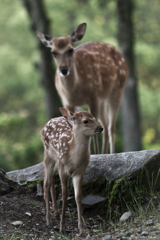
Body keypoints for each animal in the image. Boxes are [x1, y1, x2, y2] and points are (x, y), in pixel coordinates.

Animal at [37, 23, 128, 154]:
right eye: (53, 52)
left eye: (70, 50)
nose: (63, 69)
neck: (75, 91)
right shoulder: (66, 101)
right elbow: (71, 123)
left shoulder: (93, 96)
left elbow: (95, 126)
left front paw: (95, 153)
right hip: (102, 98)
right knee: (106, 125)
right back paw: (104, 152)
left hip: (118, 88)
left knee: (111, 127)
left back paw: (111, 153)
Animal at [41, 107, 103, 236]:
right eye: (85, 121)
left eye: (95, 118)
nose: (100, 128)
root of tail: (45, 124)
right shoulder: (63, 170)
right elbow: (64, 195)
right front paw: (62, 228)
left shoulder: (80, 172)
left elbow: (78, 196)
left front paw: (82, 230)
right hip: (49, 156)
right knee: (46, 184)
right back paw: (49, 221)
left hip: (57, 161)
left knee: (52, 179)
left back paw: (56, 213)